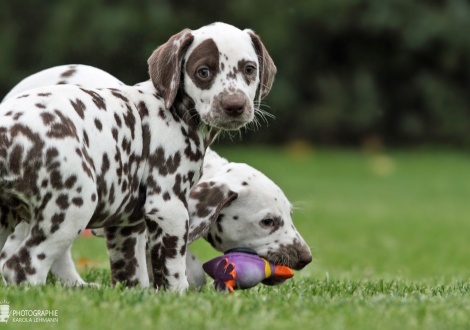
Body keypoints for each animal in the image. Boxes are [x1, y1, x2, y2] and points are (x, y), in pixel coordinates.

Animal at [0, 22, 278, 292]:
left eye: (249, 69)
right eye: (203, 72)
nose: (234, 105)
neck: (174, 111)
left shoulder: (127, 223)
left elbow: (133, 275)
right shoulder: (169, 208)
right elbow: (174, 269)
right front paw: (180, 295)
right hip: (73, 206)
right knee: (21, 266)